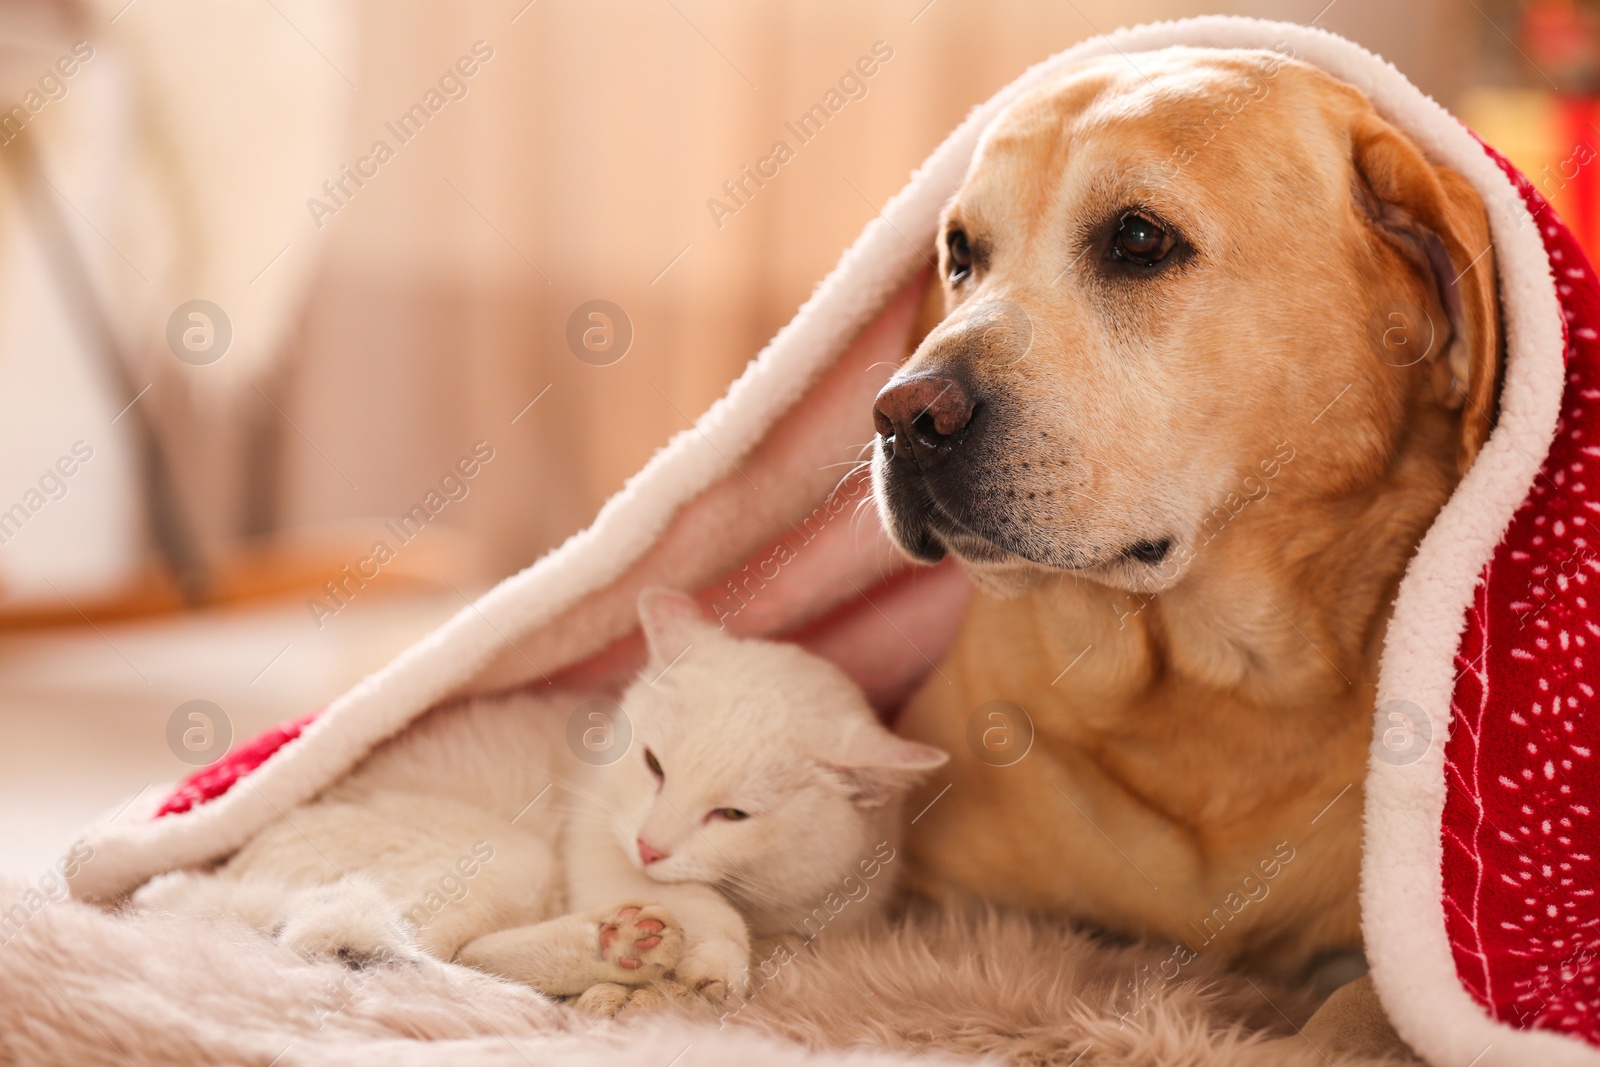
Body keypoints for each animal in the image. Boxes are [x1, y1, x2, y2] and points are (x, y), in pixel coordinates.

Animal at [137, 588, 947, 1017]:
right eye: (654, 766)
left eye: (734, 815)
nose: (651, 845)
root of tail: (221, 881)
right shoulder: (598, 845)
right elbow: (705, 910)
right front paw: (711, 963)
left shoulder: (831, 918)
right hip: (502, 857)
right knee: (399, 955)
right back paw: (602, 966)